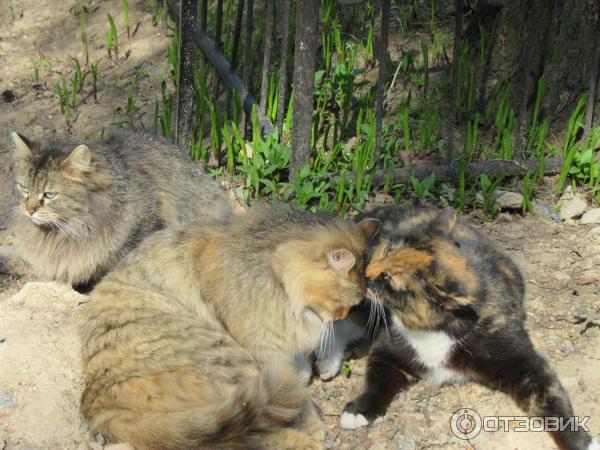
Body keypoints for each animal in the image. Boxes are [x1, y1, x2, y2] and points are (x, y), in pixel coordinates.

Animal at [80, 204, 380, 450]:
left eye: (352, 305)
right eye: (341, 302)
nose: (341, 315)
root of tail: (97, 403)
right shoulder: (268, 354)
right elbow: (301, 397)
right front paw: (313, 424)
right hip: (233, 366)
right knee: (250, 434)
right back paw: (305, 442)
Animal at [326, 207, 596, 450]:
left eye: (388, 279)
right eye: (386, 249)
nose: (366, 274)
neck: (435, 330)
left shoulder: (519, 360)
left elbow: (548, 395)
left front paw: (581, 442)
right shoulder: (388, 350)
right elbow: (377, 380)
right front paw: (360, 409)